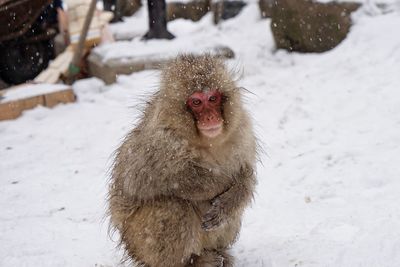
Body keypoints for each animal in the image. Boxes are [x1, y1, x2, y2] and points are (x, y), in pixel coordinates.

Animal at [109, 54, 258, 267]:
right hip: (139, 243)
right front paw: (221, 181)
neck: (206, 142)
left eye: (212, 98)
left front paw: (229, 200)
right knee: (172, 205)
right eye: (196, 102)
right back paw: (192, 262)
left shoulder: (242, 131)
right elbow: (139, 181)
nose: (210, 117)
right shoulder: (161, 143)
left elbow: (246, 173)